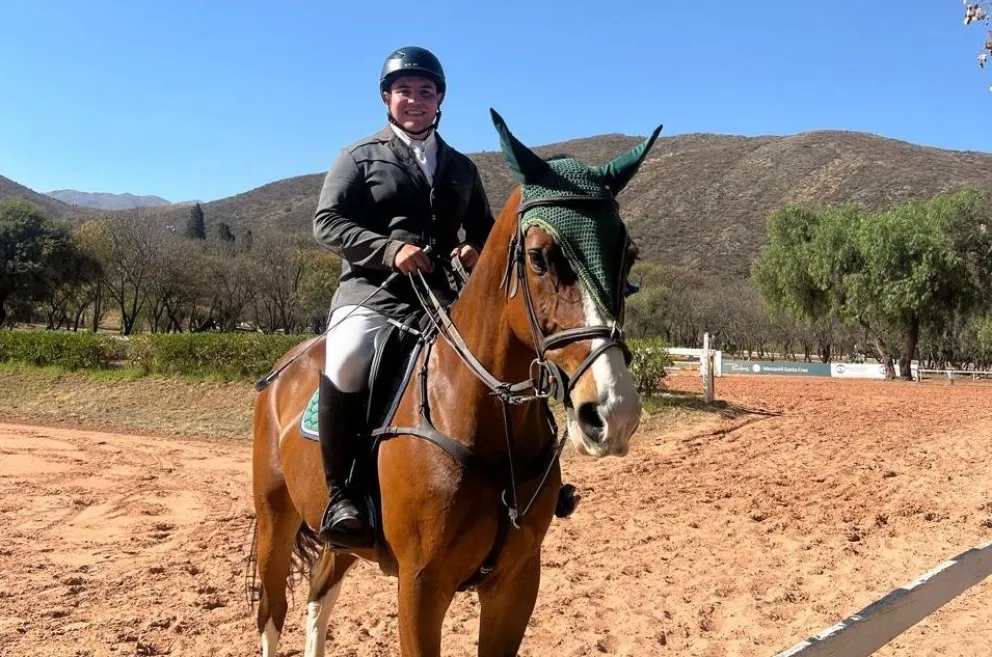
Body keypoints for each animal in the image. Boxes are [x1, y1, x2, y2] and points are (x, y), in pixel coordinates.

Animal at [250, 108, 662, 657]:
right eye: (539, 257)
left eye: (628, 255)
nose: (613, 414)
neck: (481, 415)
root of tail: (283, 369)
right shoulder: (421, 587)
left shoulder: (516, 583)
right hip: (275, 521)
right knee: (273, 614)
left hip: (335, 538)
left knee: (320, 597)